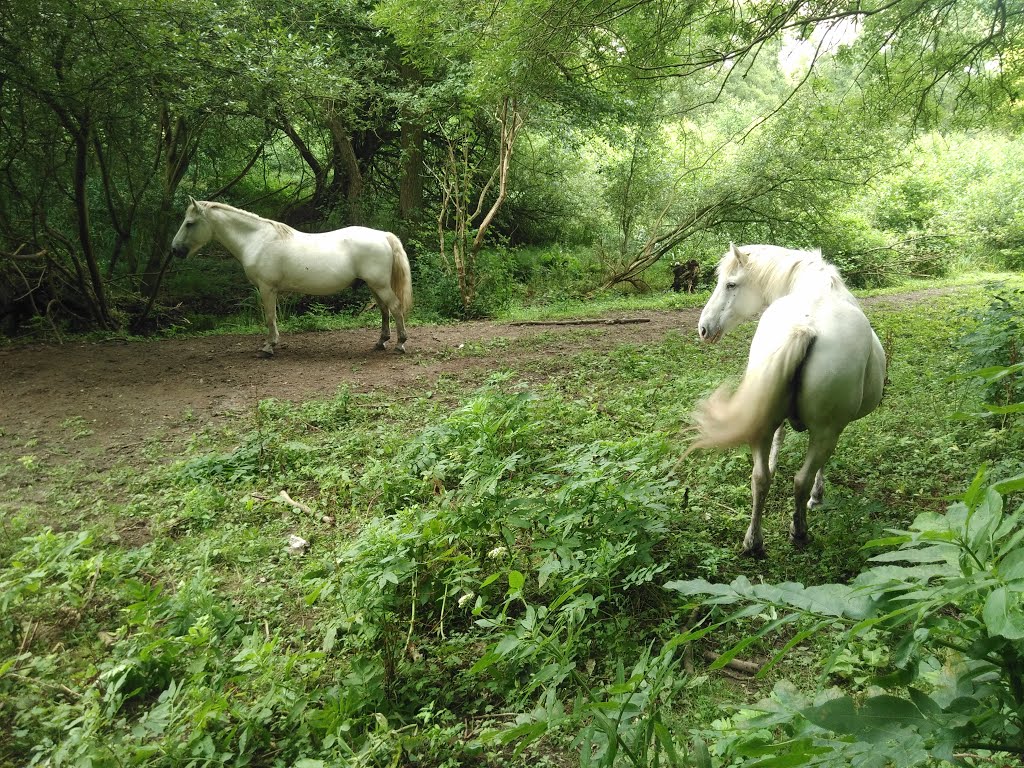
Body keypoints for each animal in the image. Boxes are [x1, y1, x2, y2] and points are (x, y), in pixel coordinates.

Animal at [168, 196, 411, 356]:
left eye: (189, 223)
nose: (175, 250)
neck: (257, 240)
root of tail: (383, 235)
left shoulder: (267, 288)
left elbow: (270, 317)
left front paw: (269, 346)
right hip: (373, 286)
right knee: (384, 310)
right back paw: (381, 342)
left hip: (379, 285)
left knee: (395, 307)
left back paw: (400, 344)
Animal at [688, 243, 888, 557]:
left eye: (731, 284)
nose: (703, 329)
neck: (816, 285)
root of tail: (803, 328)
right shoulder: (834, 428)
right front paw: (818, 496)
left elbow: (778, 442)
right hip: (826, 432)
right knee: (801, 480)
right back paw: (800, 531)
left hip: (764, 422)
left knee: (759, 479)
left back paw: (753, 542)